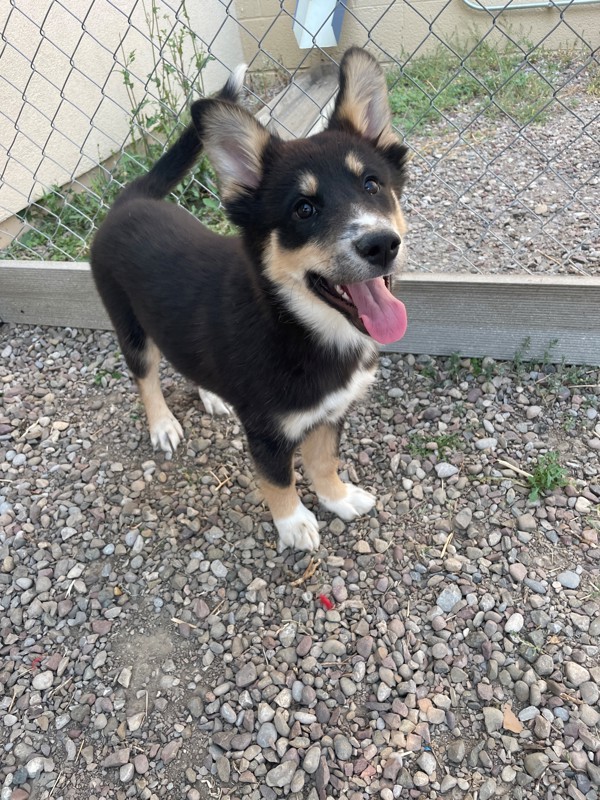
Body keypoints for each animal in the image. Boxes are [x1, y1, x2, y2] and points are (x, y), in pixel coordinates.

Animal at [90, 47, 408, 552]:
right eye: (303, 209)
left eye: (372, 185)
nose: (381, 245)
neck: (296, 325)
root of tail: (130, 199)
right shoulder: (266, 432)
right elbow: (279, 480)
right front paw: (294, 524)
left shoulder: (330, 412)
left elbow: (323, 461)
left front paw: (338, 499)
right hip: (130, 327)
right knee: (146, 377)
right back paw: (162, 425)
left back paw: (211, 395)